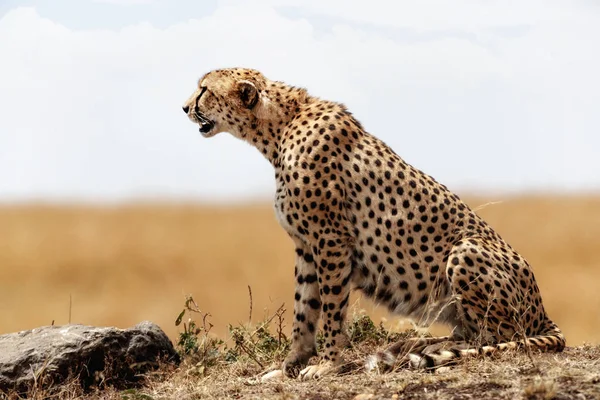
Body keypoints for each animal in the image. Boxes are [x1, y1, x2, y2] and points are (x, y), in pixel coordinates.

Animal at [180, 67, 564, 380]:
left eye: (203, 89)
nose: (184, 107)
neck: (278, 129)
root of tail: (543, 311)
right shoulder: (306, 246)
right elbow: (304, 309)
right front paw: (291, 364)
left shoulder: (331, 241)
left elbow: (331, 309)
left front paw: (327, 364)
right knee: (471, 333)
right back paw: (418, 345)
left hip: (466, 251)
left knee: (501, 337)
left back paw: (428, 350)